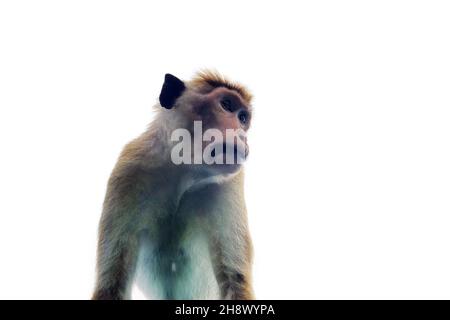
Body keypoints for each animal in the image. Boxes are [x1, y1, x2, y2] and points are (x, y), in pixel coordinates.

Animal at [92, 70, 253, 300]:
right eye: (226, 105)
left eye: (243, 118)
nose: (242, 134)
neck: (184, 171)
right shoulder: (128, 173)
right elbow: (112, 284)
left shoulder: (227, 186)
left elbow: (235, 280)